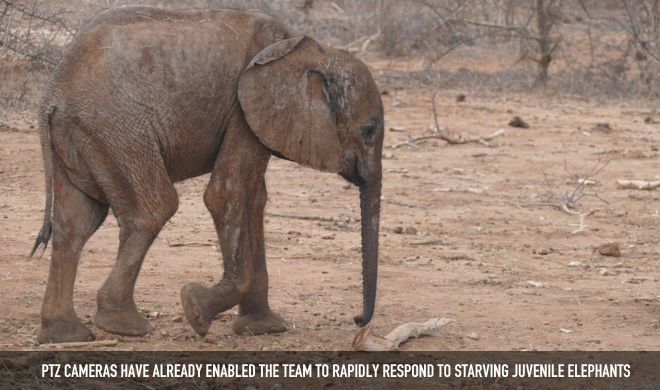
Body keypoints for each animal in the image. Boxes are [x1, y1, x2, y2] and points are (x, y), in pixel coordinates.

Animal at [29, 4, 382, 342]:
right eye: (369, 130)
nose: (357, 320)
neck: (313, 51)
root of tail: (51, 95)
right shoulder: (243, 110)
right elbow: (226, 195)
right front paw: (196, 310)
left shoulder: (254, 118)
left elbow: (253, 200)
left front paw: (264, 328)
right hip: (118, 131)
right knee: (152, 209)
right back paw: (123, 326)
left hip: (82, 136)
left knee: (75, 224)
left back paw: (65, 335)